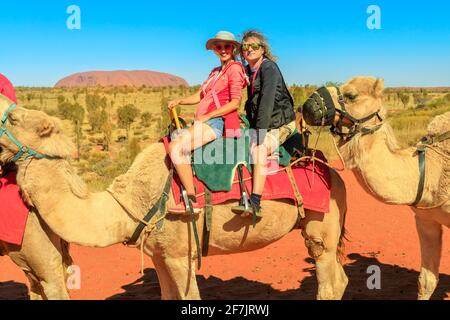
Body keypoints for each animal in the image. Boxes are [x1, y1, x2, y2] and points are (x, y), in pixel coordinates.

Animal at [0, 94, 348, 300]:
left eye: (14, 119)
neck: (130, 205)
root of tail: (332, 171)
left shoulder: (182, 255)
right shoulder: (160, 255)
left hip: (321, 225)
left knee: (327, 281)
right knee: (339, 279)